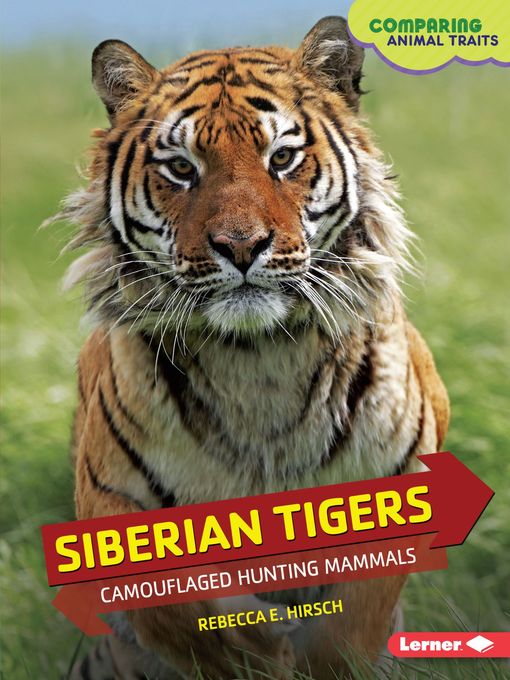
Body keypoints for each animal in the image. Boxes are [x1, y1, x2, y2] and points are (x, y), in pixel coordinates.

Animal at [55, 15, 449, 680]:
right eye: (181, 167)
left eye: (282, 157)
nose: (240, 246)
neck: (258, 363)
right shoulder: (112, 504)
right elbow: (180, 616)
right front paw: (259, 646)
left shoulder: (407, 475)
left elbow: (348, 633)